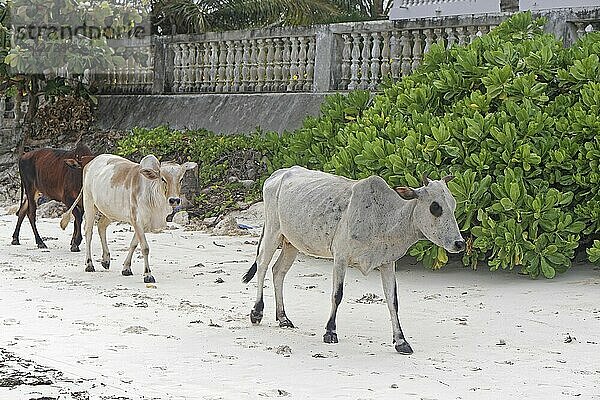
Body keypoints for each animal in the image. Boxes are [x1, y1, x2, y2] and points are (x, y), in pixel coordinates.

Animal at [61, 153, 197, 282]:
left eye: (181, 179)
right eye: (163, 179)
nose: (174, 200)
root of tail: (91, 163)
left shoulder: (142, 224)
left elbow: (133, 244)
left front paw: (126, 268)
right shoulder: (137, 220)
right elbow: (145, 248)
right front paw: (148, 275)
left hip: (111, 211)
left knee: (101, 226)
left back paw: (106, 260)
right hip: (89, 204)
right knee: (89, 232)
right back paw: (89, 264)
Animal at [244, 165, 464, 354]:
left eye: (453, 205)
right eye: (435, 207)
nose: (459, 243)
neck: (383, 216)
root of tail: (278, 174)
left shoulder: (387, 263)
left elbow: (393, 301)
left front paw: (401, 341)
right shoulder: (340, 257)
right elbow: (337, 295)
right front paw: (330, 331)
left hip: (291, 243)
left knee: (278, 271)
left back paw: (283, 318)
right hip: (273, 232)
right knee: (262, 266)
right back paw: (257, 312)